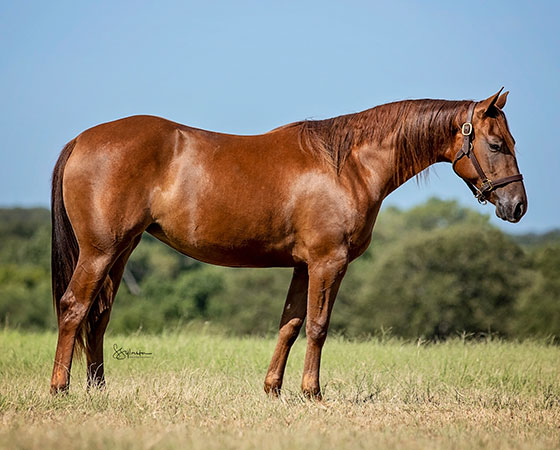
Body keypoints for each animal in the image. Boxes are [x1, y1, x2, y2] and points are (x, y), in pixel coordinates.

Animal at [50, 88, 528, 398]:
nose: (518, 205)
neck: (347, 165)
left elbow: (290, 325)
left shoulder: (303, 265)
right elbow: (317, 327)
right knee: (74, 308)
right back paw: (60, 388)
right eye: (495, 144)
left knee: (98, 315)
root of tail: (80, 140)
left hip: (120, 252)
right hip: (100, 252)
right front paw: (312, 392)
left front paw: (273, 390)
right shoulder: (329, 262)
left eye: (511, 141)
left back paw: (98, 391)